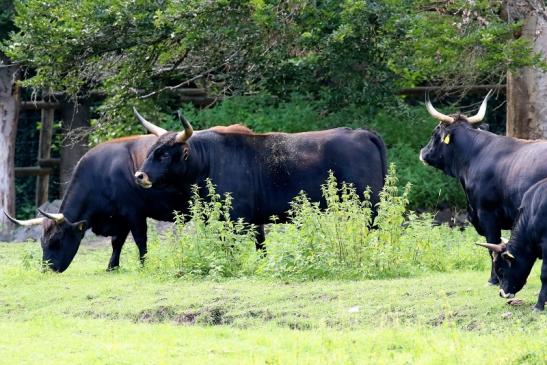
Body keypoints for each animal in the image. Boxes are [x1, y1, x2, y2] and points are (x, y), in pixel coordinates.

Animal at [3, 135, 188, 272]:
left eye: (56, 241)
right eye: (42, 242)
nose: (47, 270)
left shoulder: (134, 213)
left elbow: (140, 240)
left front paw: (143, 266)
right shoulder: (120, 218)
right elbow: (116, 242)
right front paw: (112, 267)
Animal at [133, 107, 388, 245]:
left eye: (165, 154)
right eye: (151, 150)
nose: (140, 176)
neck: (209, 160)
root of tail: (361, 133)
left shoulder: (237, 218)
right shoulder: (254, 220)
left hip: (370, 205)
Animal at [420, 89, 547, 282]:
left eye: (436, 132)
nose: (423, 153)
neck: (475, 154)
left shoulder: (487, 215)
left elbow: (492, 246)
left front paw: (493, 279)